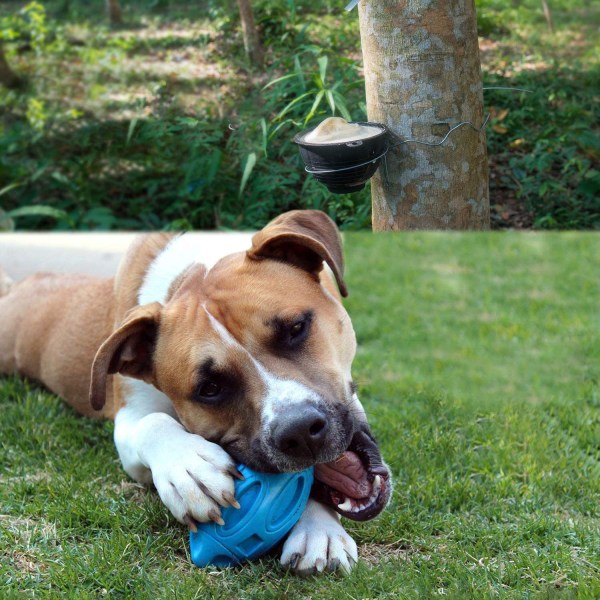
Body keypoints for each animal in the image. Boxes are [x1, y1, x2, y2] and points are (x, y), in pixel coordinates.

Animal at [0, 209, 392, 576]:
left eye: (296, 328)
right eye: (210, 389)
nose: (299, 431)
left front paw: (319, 529)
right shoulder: (130, 415)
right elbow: (153, 422)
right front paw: (190, 468)